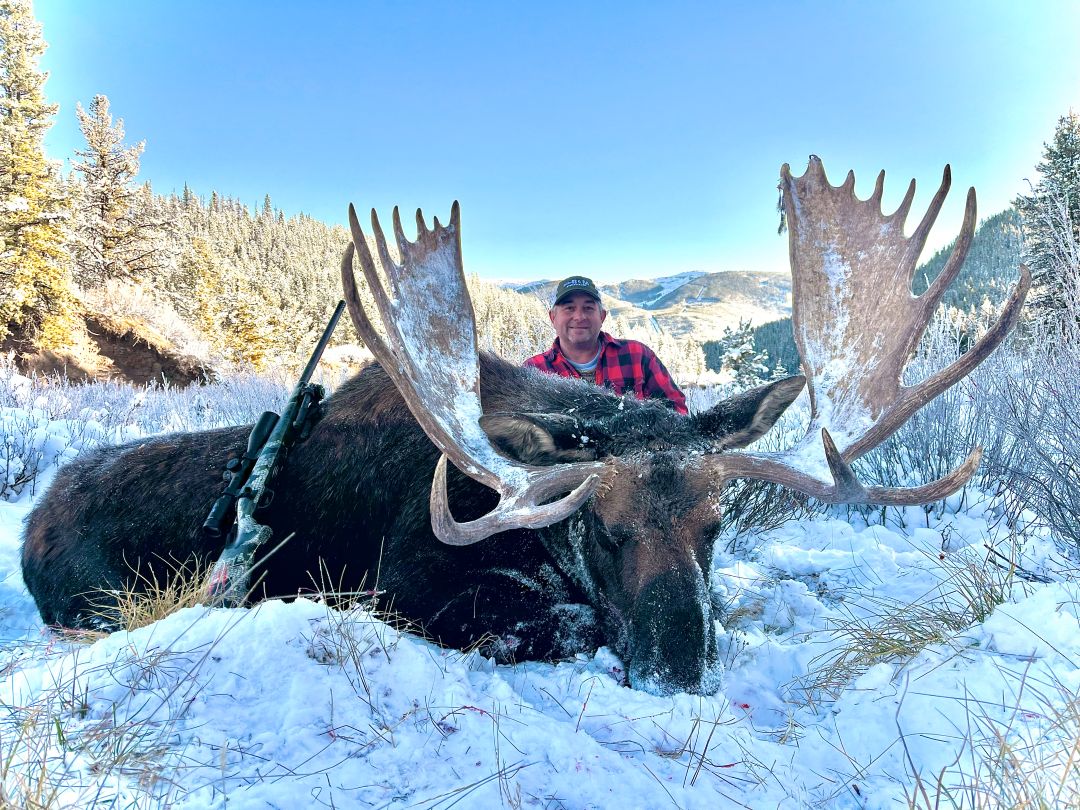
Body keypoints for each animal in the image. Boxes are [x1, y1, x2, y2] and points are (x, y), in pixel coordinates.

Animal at [20, 157, 1029, 695]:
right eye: (604, 528)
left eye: (717, 526)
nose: (676, 672)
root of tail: (32, 522)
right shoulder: (403, 583)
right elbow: (562, 619)